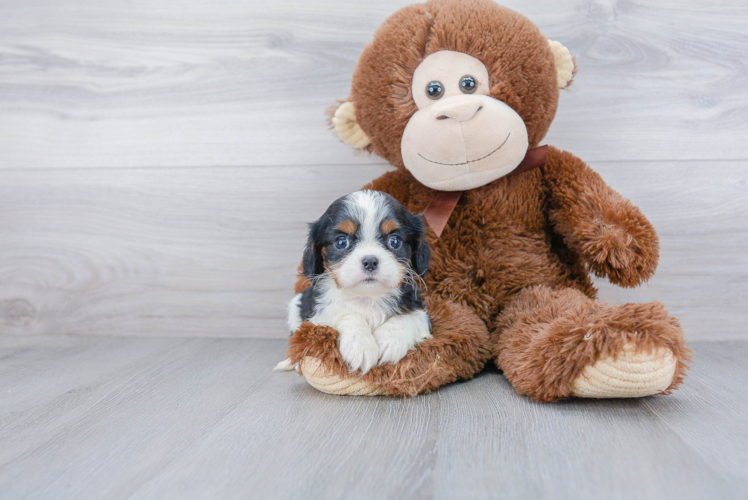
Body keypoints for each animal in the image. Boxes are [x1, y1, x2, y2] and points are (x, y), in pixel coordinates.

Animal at [276, 189, 432, 374]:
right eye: (341, 242)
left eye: (394, 241)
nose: (370, 261)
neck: (367, 297)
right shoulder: (317, 319)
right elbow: (346, 313)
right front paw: (360, 345)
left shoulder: (420, 310)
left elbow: (410, 316)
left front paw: (390, 340)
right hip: (295, 307)